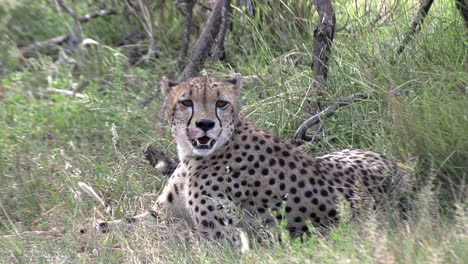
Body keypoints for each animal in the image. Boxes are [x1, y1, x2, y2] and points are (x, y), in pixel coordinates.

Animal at [86, 74, 408, 241]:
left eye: (221, 103)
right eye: (186, 102)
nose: (205, 124)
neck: (193, 156)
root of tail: (403, 171)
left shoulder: (223, 240)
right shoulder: (159, 215)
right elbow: (111, 225)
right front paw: (88, 230)